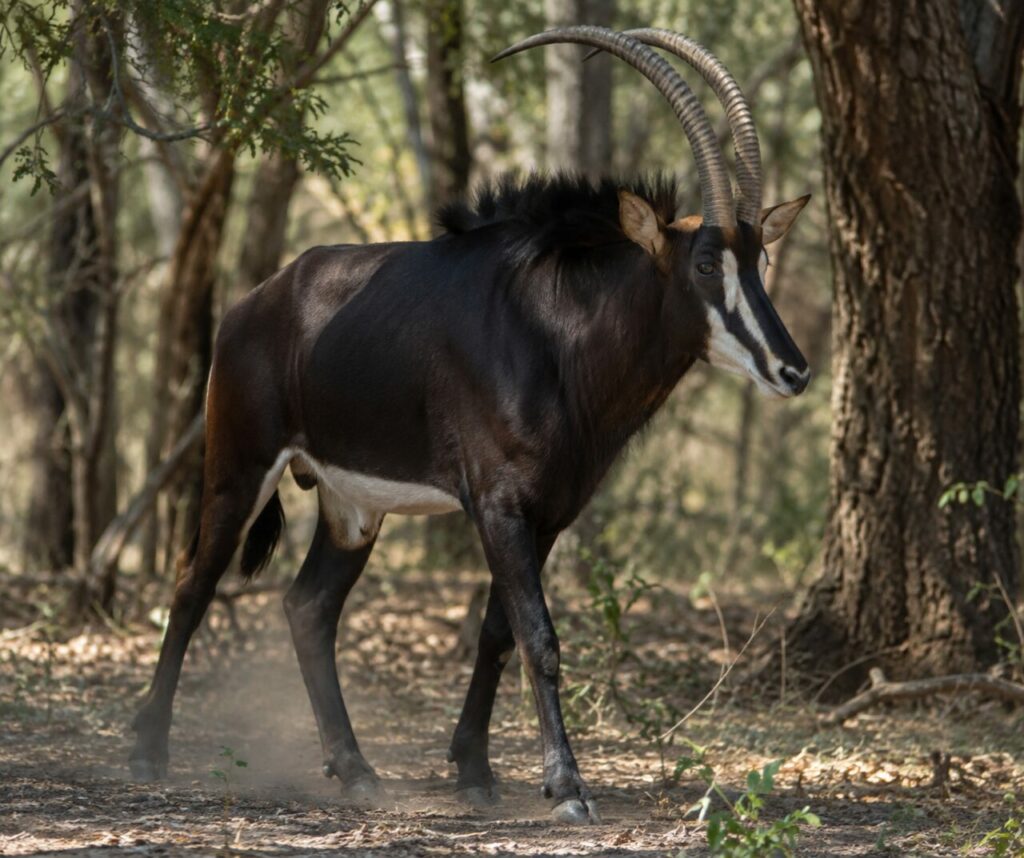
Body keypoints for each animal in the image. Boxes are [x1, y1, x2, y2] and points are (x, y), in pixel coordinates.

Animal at [129, 26, 811, 825]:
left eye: (758, 258)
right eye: (705, 263)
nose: (793, 370)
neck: (557, 334)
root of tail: (249, 306)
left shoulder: (547, 512)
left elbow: (497, 634)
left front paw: (475, 770)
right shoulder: (497, 502)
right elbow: (538, 636)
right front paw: (566, 787)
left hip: (351, 508)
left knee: (308, 608)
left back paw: (354, 768)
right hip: (239, 468)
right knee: (192, 585)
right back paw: (148, 750)